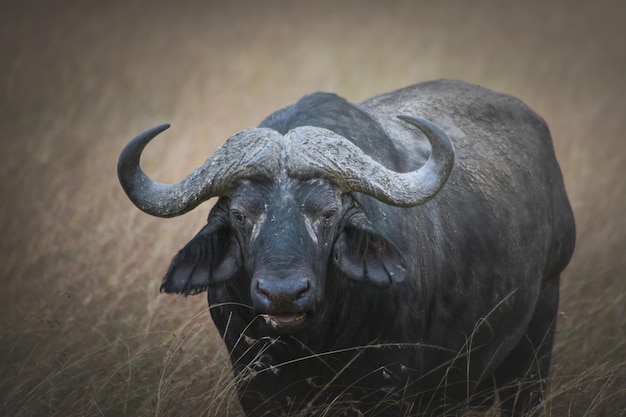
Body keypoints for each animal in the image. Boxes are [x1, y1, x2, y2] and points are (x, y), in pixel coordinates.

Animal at [117, 79, 576, 414]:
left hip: (536, 340)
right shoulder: (254, 384)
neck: (313, 341)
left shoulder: (390, 386)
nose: (283, 293)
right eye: (241, 216)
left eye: (327, 213)